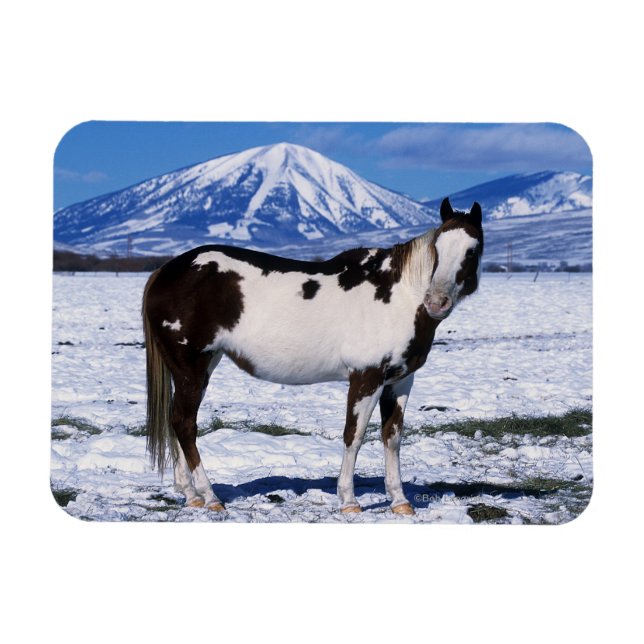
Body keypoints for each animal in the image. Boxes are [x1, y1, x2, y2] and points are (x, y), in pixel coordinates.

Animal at [142, 197, 484, 515]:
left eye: (472, 250)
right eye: (438, 247)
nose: (436, 301)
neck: (398, 296)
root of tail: (165, 271)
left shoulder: (399, 381)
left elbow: (392, 437)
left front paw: (400, 502)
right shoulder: (367, 377)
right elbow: (354, 435)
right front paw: (349, 501)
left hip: (198, 367)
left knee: (176, 422)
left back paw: (191, 495)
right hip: (191, 367)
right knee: (185, 424)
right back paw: (210, 497)